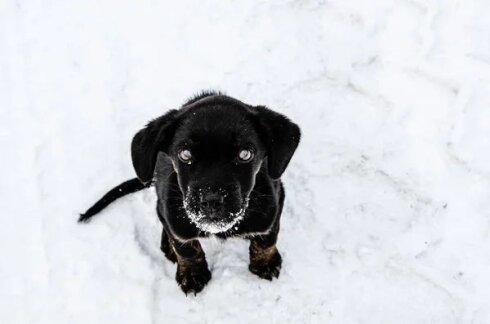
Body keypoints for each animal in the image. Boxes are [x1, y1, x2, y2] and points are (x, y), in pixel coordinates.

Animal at [80, 91, 300, 294]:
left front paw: (265, 264)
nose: (211, 200)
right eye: (185, 154)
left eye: (245, 154)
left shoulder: (274, 205)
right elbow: (186, 248)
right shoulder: (173, 217)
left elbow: (267, 238)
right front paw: (193, 275)